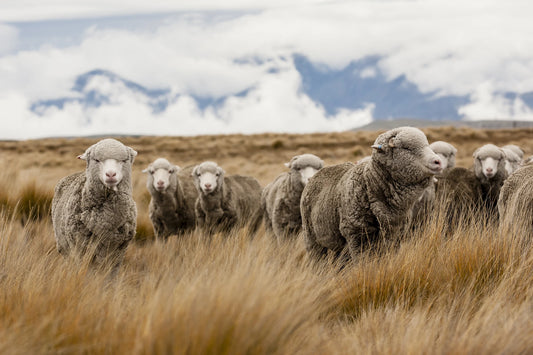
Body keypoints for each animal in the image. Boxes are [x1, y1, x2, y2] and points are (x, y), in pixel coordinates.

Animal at [51, 139, 137, 270]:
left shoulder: (118, 253)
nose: (110, 174)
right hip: (65, 248)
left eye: (124, 160)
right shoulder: (81, 250)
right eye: (96, 160)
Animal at [302, 126, 442, 260]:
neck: (369, 182)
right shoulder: (358, 236)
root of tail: (319, 172)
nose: (438, 161)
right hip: (311, 238)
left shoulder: (395, 238)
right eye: (406, 148)